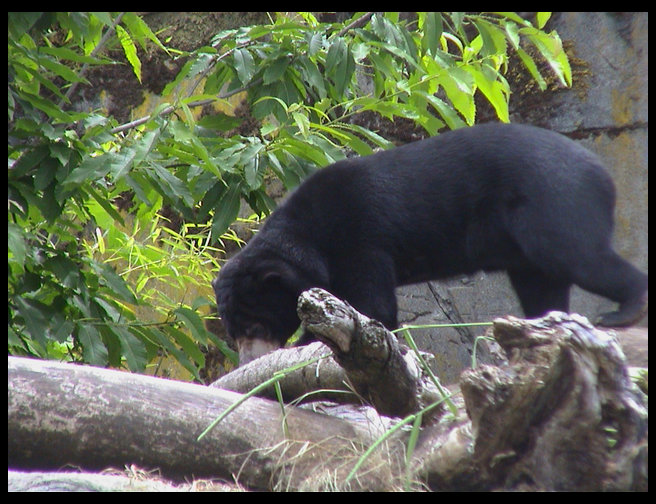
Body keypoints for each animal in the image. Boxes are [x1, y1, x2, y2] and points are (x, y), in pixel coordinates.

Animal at [212, 123, 648, 365]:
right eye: (233, 332)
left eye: (254, 324)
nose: (247, 361)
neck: (308, 234)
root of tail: (603, 173)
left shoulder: (360, 237)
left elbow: (371, 307)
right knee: (543, 284)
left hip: (553, 201)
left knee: (578, 256)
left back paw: (621, 312)